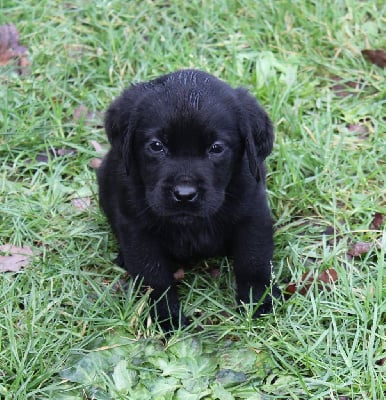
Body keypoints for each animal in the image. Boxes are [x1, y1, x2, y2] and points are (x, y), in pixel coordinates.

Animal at [98, 69, 280, 332]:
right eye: (156, 146)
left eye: (216, 148)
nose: (184, 194)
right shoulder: (137, 230)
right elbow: (154, 278)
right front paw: (167, 318)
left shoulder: (253, 215)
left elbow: (253, 260)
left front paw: (259, 301)